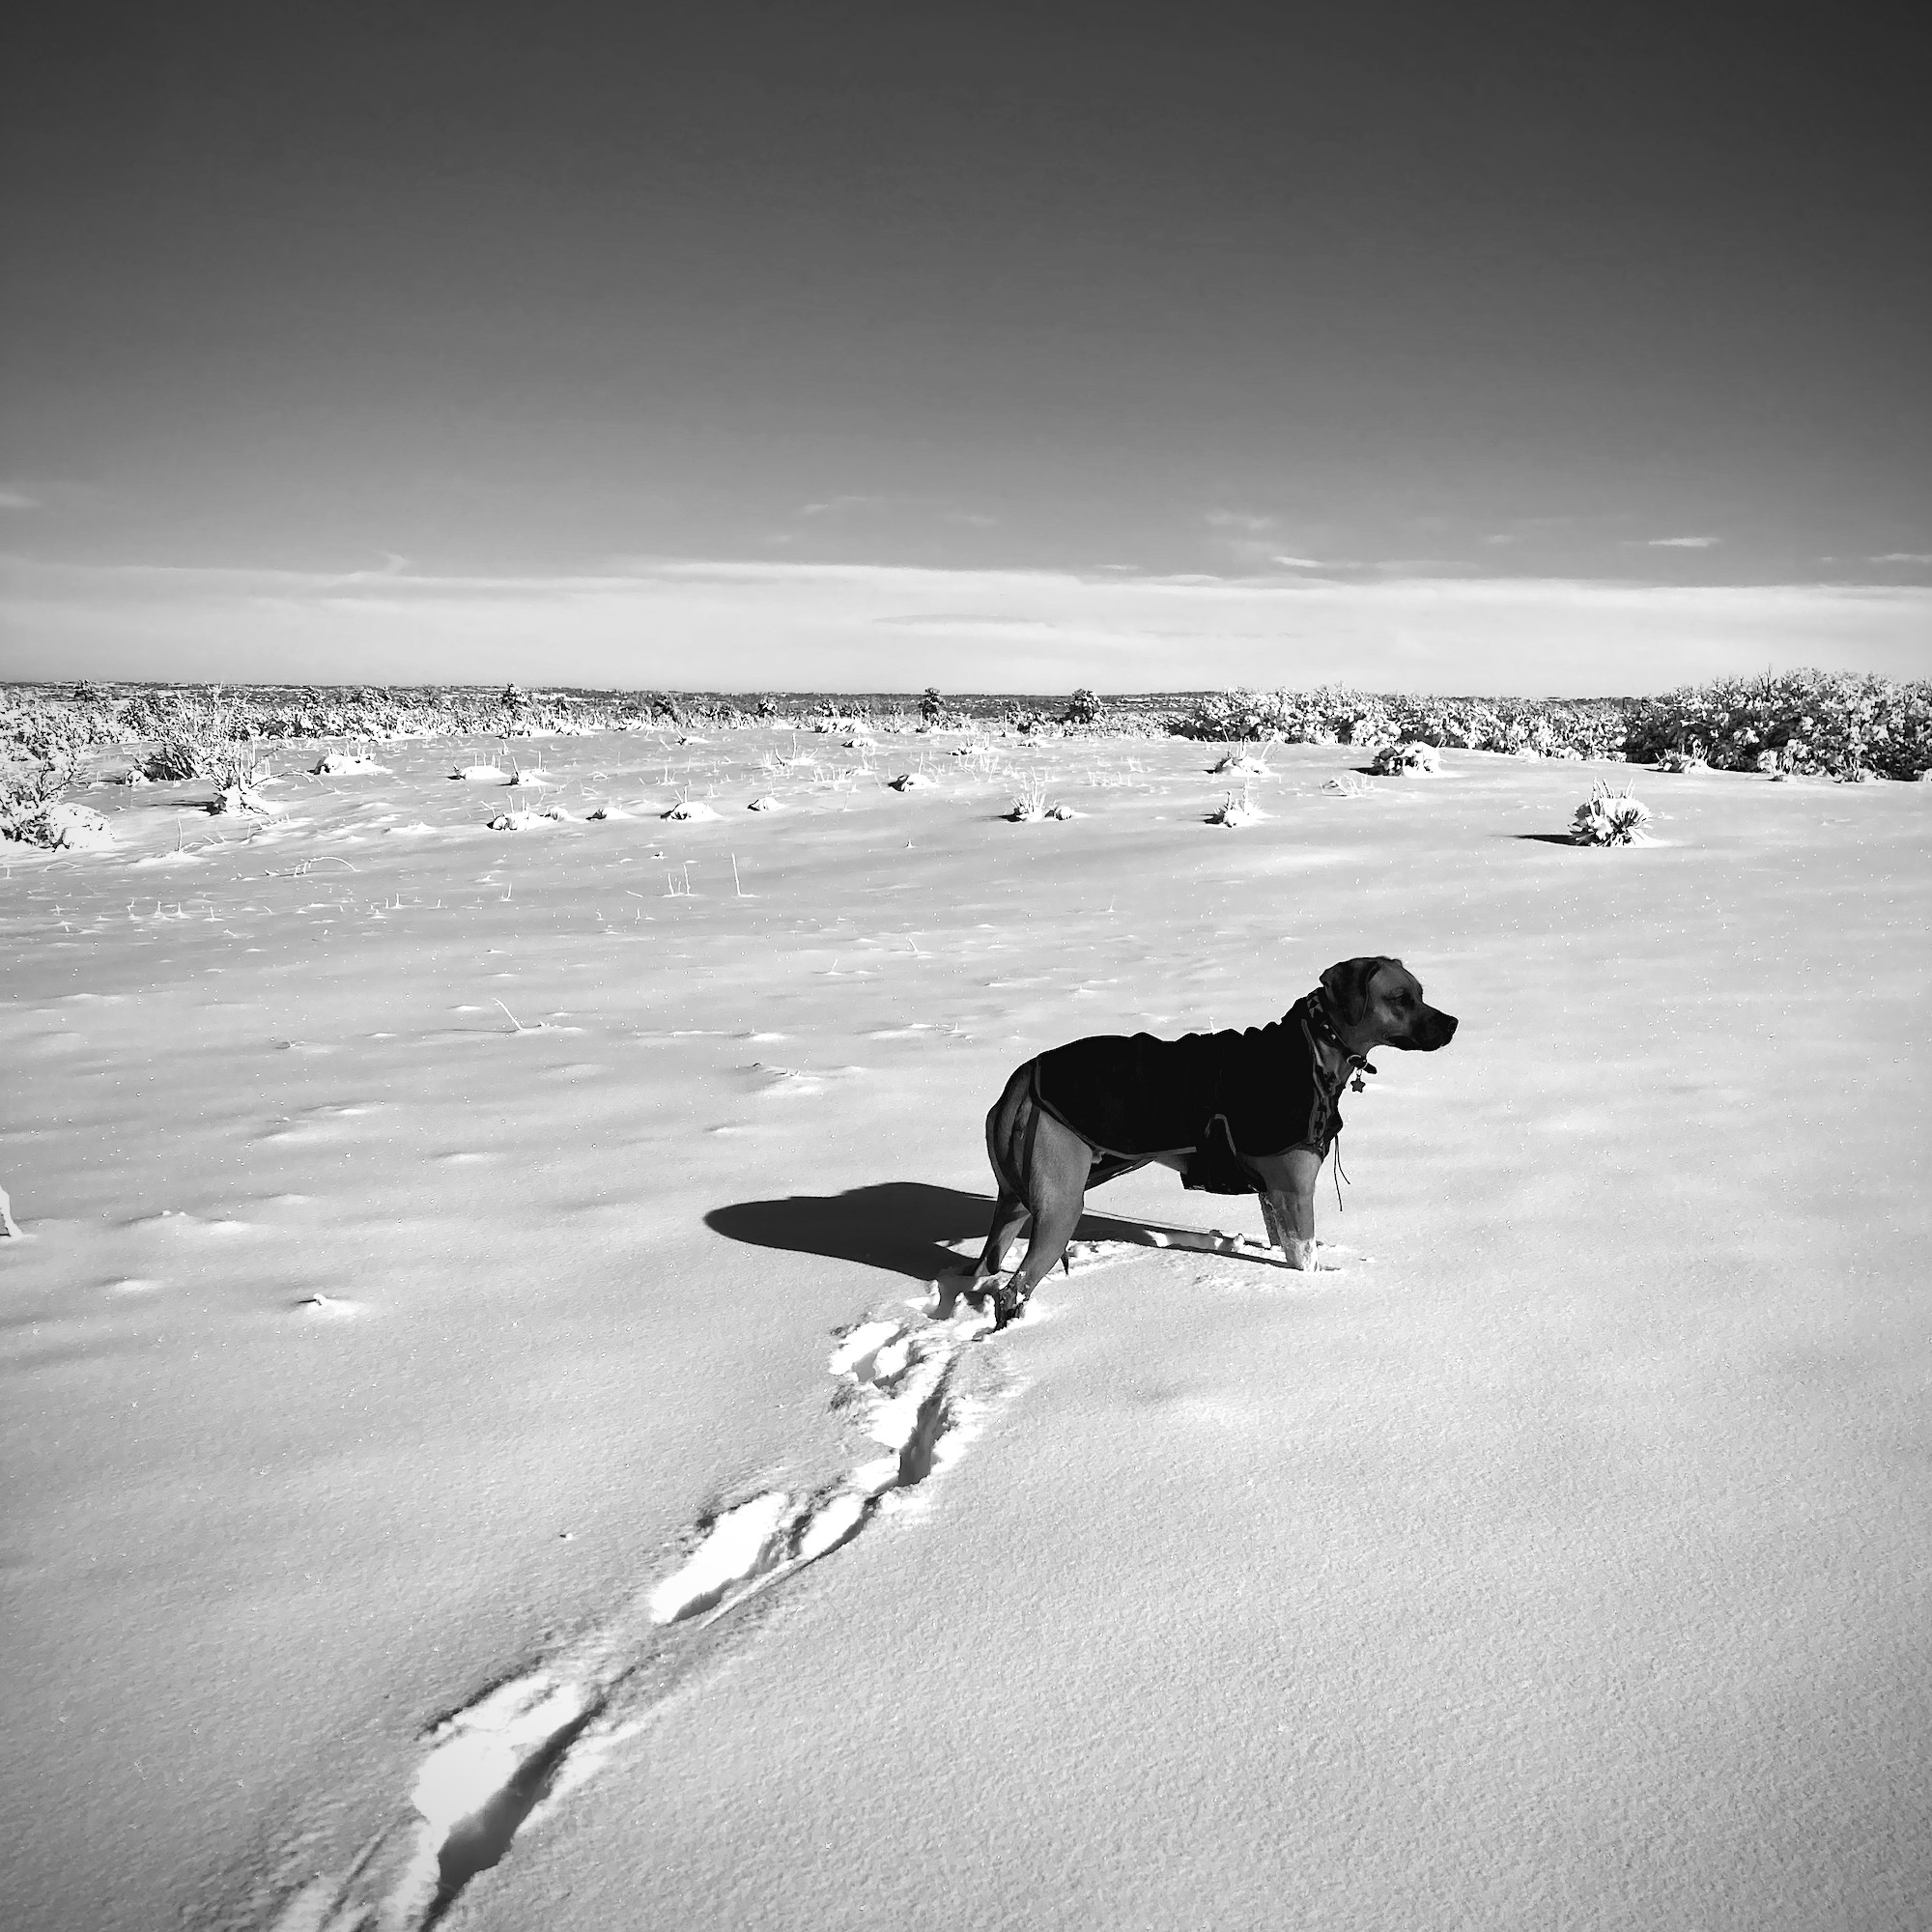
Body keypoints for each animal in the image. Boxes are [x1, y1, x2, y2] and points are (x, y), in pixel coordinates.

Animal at [974, 954, 1453, 1329]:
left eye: (1421, 992)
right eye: (1400, 998)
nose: (1453, 1023)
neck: (1314, 1046)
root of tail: (1024, 1074)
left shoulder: (1271, 1194)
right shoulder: (1294, 1192)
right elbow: (1306, 1258)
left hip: (1016, 1201)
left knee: (984, 1269)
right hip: (1061, 1206)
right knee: (1014, 1287)